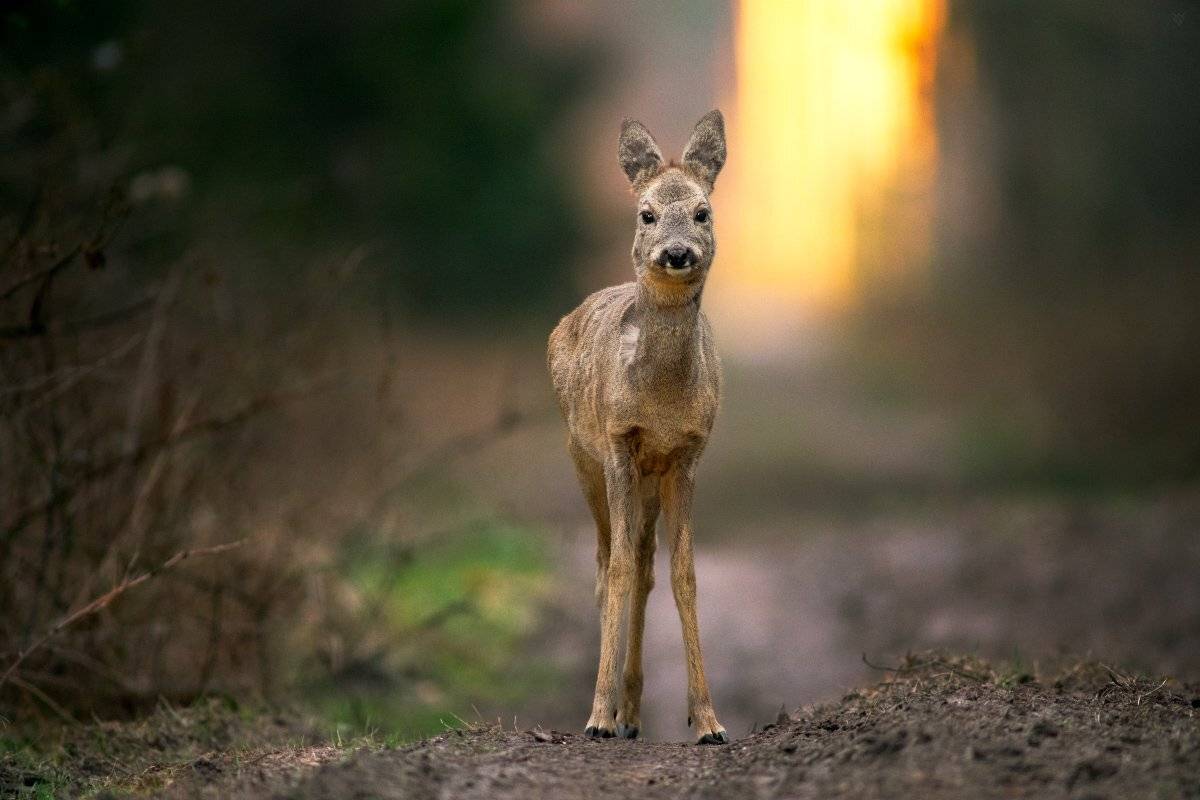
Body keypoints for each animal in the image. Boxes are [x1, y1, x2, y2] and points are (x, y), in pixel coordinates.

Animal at [547, 110, 728, 744]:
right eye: (646, 214)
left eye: (703, 212)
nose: (676, 253)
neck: (661, 404)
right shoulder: (619, 445)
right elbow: (621, 567)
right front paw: (596, 716)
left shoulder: (689, 454)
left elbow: (684, 573)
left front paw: (707, 720)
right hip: (583, 459)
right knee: (608, 562)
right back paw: (612, 713)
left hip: (648, 479)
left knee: (647, 564)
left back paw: (632, 710)